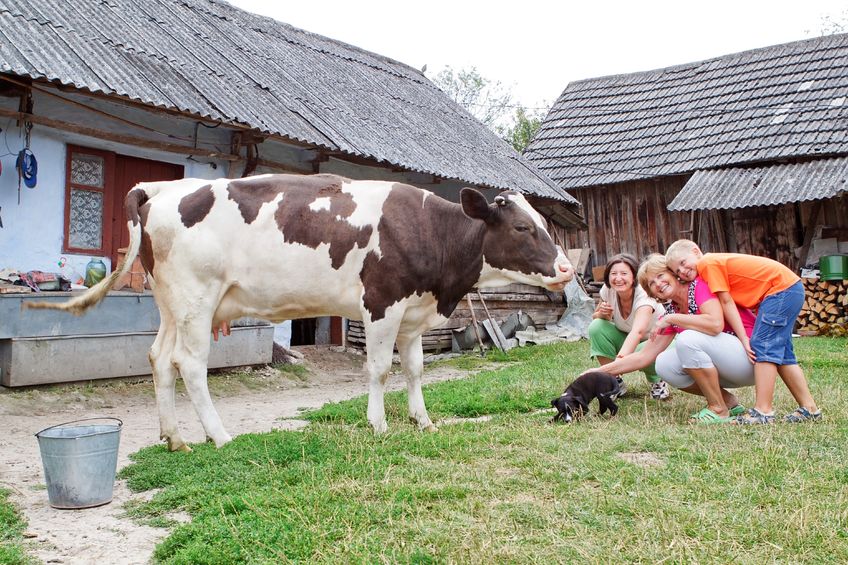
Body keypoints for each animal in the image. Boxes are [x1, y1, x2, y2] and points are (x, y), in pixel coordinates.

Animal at [26, 174, 572, 452]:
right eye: (522, 228)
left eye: (544, 223)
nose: (567, 268)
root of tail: (162, 189)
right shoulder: (381, 304)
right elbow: (380, 369)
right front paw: (379, 425)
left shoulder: (414, 312)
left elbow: (415, 369)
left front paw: (423, 421)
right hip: (197, 298)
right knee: (190, 365)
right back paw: (219, 436)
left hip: (170, 303)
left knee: (160, 359)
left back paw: (176, 438)